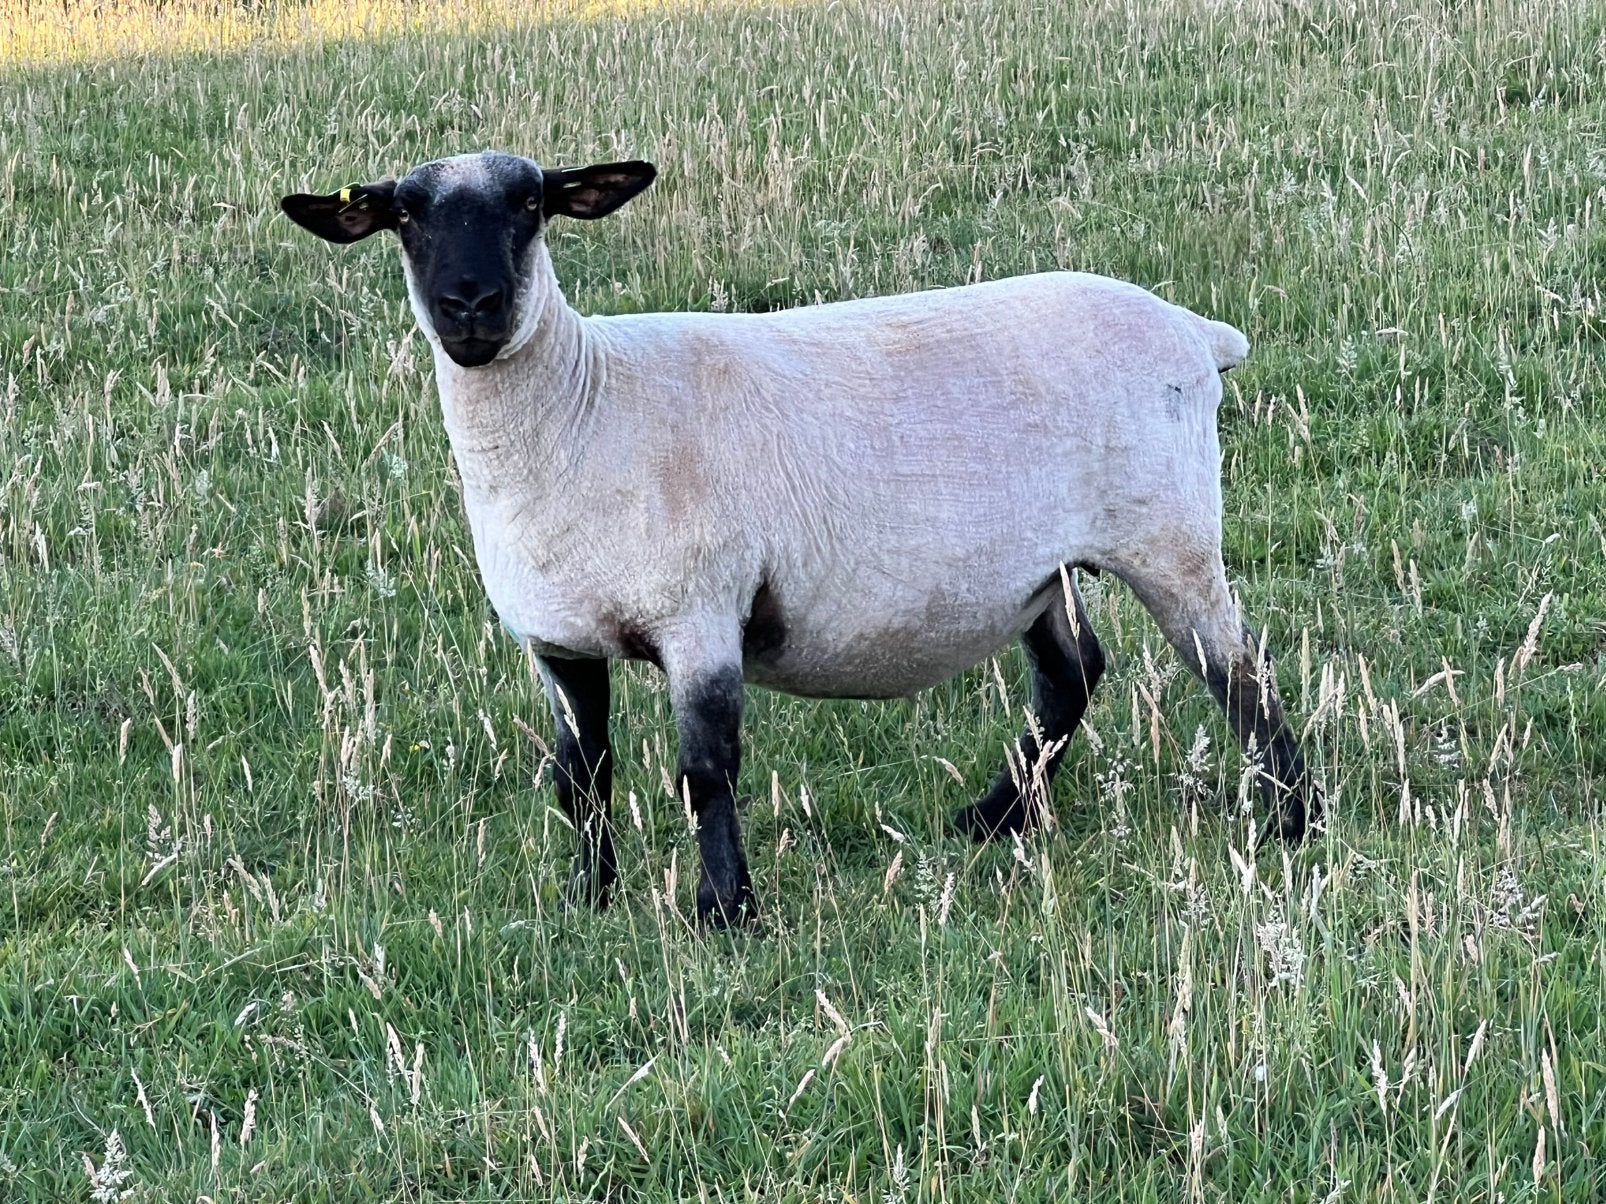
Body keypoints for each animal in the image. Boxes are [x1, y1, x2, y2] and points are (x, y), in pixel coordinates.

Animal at [280, 150, 1320, 927]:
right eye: (403, 215)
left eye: (531, 203)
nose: (472, 307)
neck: (586, 401)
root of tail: (1197, 333)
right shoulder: (557, 639)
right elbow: (583, 778)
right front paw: (589, 898)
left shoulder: (700, 612)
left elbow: (705, 772)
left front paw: (724, 911)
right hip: (1035, 567)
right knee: (1073, 675)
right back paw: (993, 823)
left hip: (1168, 533)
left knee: (1240, 672)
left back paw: (1293, 824)